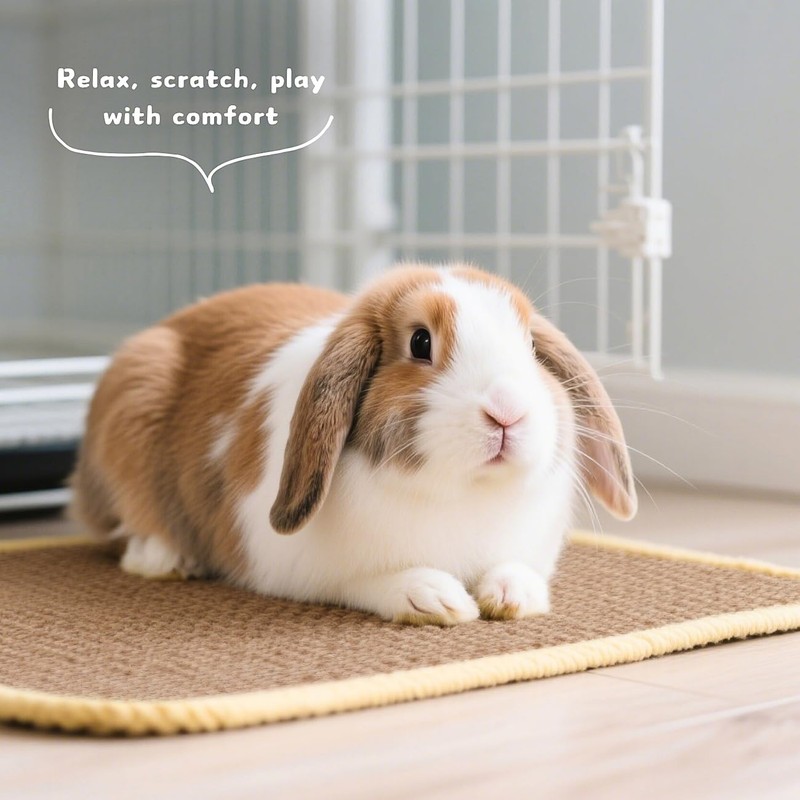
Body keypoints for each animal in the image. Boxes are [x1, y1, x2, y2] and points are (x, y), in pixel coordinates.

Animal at [69, 263, 636, 625]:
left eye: (531, 347)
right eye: (420, 342)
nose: (507, 411)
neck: (462, 492)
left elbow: (517, 570)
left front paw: (511, 596)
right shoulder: (310, 570)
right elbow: (371, 580)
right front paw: (437, 599)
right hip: (134, 399)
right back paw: (167, 558)